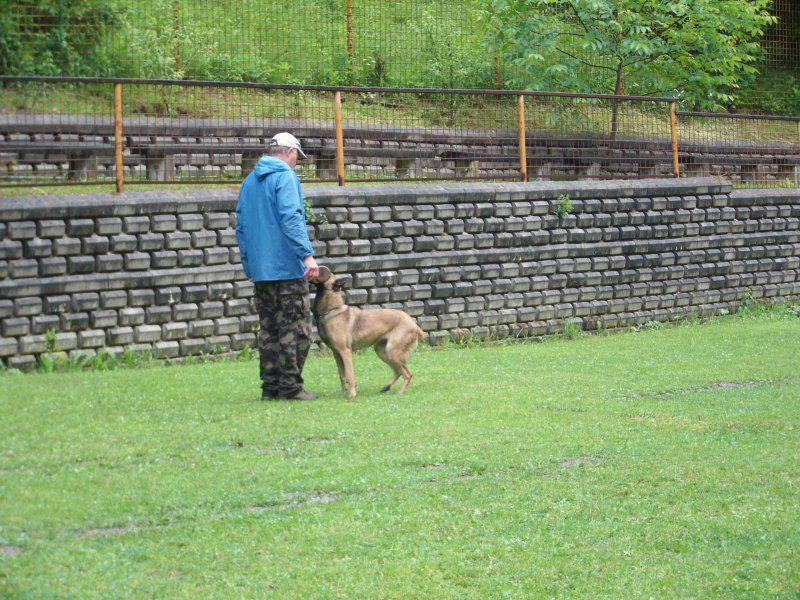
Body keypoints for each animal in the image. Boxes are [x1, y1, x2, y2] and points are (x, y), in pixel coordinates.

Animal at [312, 268, 424, 398]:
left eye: (322, 273)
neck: (332, 311)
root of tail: (413, 323)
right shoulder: (336, 353)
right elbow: (342, 376)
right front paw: (343, 394)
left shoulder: (345, 352)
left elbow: (350, 375)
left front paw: (352, 395)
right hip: (382, 352)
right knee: (398, 371)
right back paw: (387, 387)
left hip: (392, 352)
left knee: (408, 374)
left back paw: (400, 392)